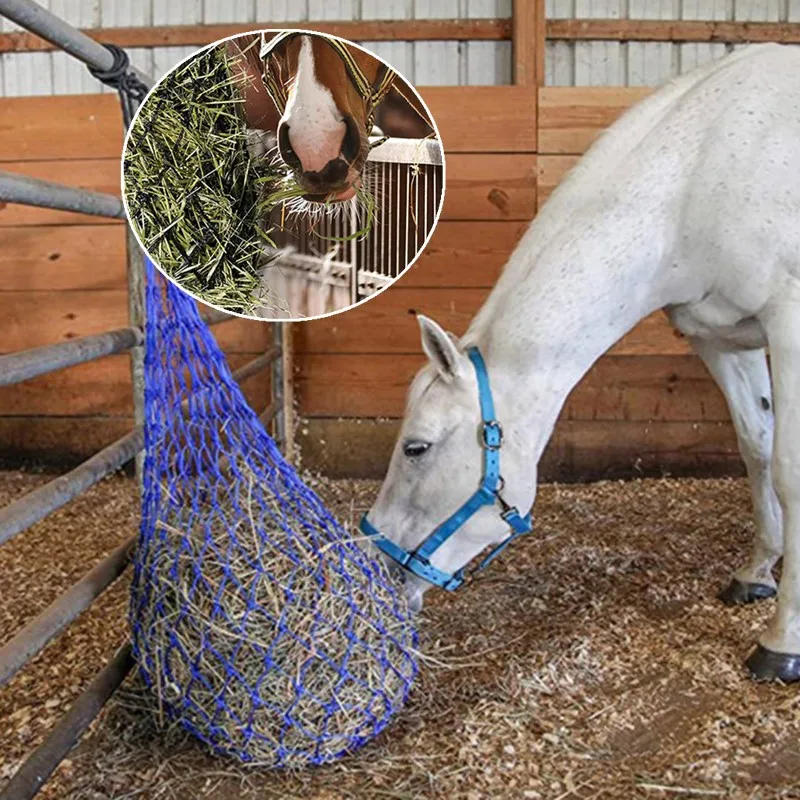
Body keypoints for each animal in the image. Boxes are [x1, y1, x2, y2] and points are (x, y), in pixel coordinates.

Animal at [360, 44, 800, 684]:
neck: (701, 177)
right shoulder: (721, 337)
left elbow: (790, 469)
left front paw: (782, 640)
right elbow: (758, 447)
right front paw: (759, 571)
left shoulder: (788, 323)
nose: (377, 562)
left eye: (416, 447)